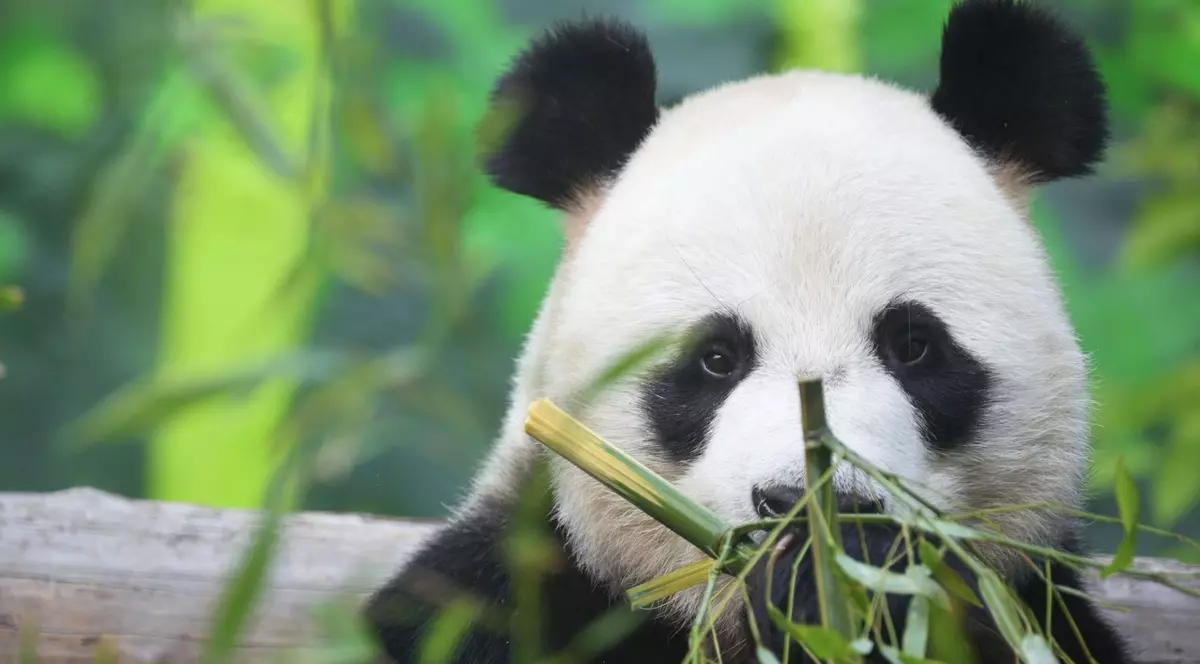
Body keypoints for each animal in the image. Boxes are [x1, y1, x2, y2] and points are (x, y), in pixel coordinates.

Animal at [365, 1, 1134, 662]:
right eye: (715, 358)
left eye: (914, 347)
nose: (808, 509)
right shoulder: (522, 579)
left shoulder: (1041, 602)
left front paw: (848, 583)